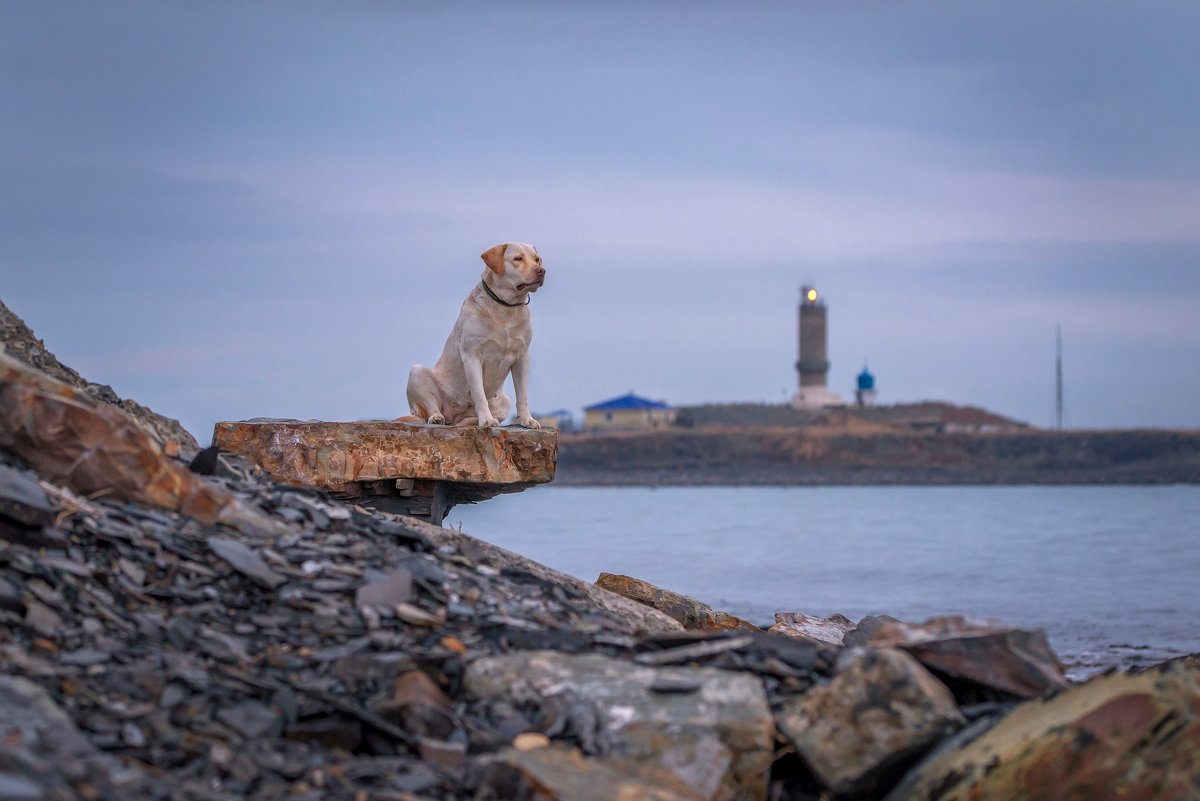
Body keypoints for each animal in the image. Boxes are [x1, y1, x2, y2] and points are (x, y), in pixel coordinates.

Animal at [408, 242, 549, 429]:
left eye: (537, 259)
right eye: (518, 258)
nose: (541, 270)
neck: (506, 308)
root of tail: (453, 417)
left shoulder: (522, 358)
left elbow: (523, 394)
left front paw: (527, 419)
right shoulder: (472, 355)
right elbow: (479, 393)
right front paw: (486, 420)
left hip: (504, 402)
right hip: (417, 372)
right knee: (432, 408)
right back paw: (437, 418)